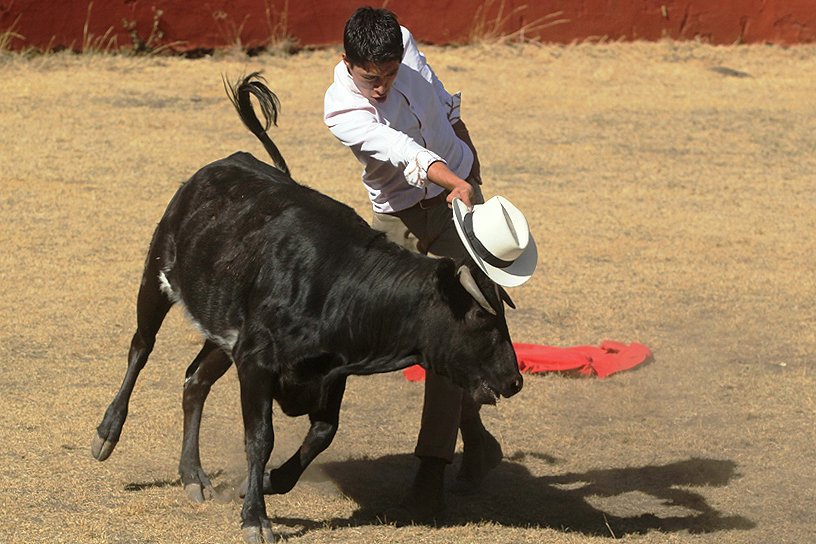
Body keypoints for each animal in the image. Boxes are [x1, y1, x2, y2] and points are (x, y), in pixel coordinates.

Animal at [91, 73, 523, 544]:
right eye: (482, 318)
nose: (515, 380)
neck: (336, 281)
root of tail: (224, 164)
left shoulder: (327, 372)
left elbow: (322, 433)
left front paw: (264, 482)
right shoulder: (257, 364)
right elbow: (260, 438)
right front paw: (255, 518)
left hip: (222, 333)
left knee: (194, 381)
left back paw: (193, 476)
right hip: (156, 278)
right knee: (141, 347)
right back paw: (107, 434)